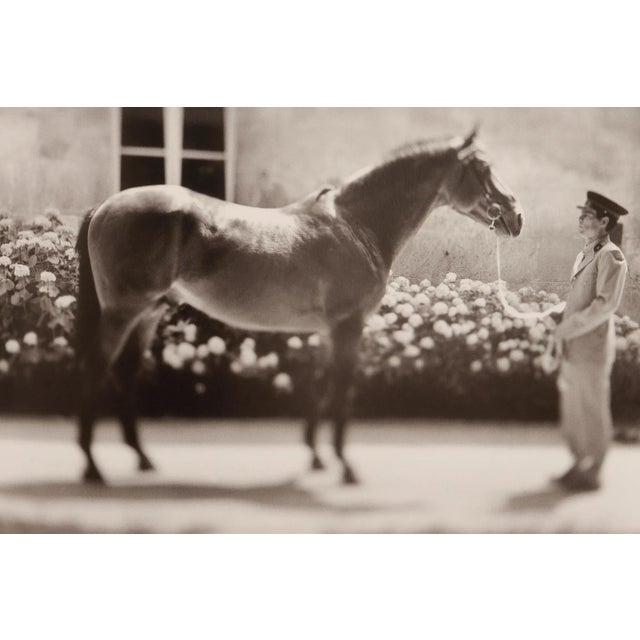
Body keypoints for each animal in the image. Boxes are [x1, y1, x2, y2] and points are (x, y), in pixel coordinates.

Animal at [74, 130, 523, 485]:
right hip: (124, 311)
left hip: (148, 312)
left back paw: (142, 459)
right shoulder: (348, 326)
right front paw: (345, 466)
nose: (516, 216)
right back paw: (93, 466)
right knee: (97, 366)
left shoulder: (329, 329)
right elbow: (340, 389)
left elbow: (321, 384)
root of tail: (104, 207)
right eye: (482, 167)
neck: (356, 225)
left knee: (126, 372)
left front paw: (316, 456)